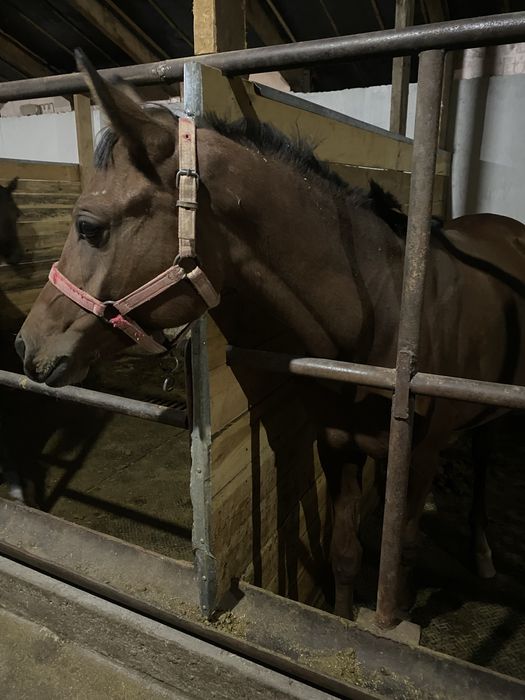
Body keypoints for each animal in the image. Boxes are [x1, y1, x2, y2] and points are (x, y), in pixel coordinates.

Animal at [15, 53, 525, 621]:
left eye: (89, 227)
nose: (27, 345)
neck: (387, 322)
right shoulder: (337, 446)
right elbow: (344, 553)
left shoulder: (419, 457)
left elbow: (405, 555)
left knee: (484, 458)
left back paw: (483, 553)